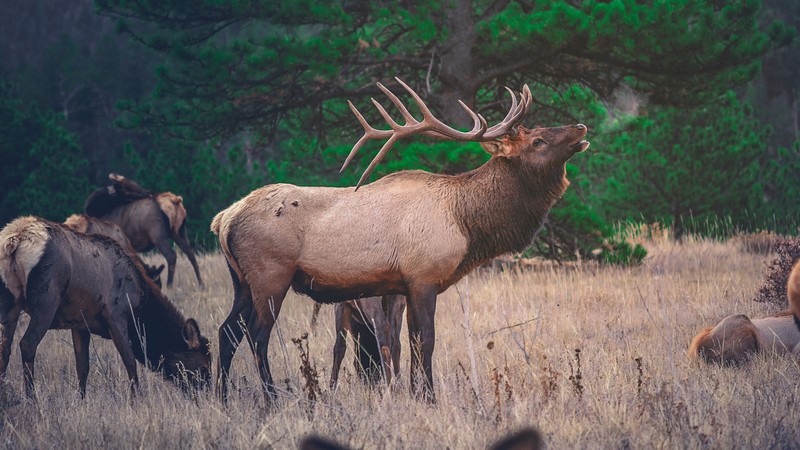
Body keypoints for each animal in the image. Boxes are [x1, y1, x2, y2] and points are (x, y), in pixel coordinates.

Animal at [0, 217, 212, 398]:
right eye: (203, 366)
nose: (209, 395)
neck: (140, 306)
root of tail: (14, 241)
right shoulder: (116, 315)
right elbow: (130, 362)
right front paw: (136, 400)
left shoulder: (79, 323)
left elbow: (82, 367)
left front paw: (82, 401)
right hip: (47, 299)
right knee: (27, 344)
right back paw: (32, 400)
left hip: (10, 303)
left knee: (5, 348)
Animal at [211, 76, 588, 400]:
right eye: (538, 140)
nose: (581, 127)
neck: (466, 222)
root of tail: (224, 219)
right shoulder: (423, 277)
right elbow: (426, 342)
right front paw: (430, 398)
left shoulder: (402, 286)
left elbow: (409, 343)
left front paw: (415, 394)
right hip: (271, 275)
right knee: (256, 336)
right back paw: (271, 399)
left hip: (241, 281)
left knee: (226, 332)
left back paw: (223, 397)